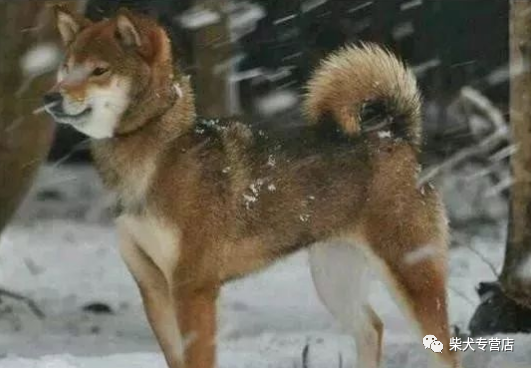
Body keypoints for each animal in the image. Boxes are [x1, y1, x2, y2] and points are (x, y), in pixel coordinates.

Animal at [45, 5, 462, 368]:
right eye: (65, 68)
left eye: (99, 70)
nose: (50, 95)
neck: (158, 156)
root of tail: (398, 137)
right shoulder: (153, 288)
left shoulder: (193, 287)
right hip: (333, 277)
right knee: (371, 328)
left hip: (411, 275)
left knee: (444, 350)